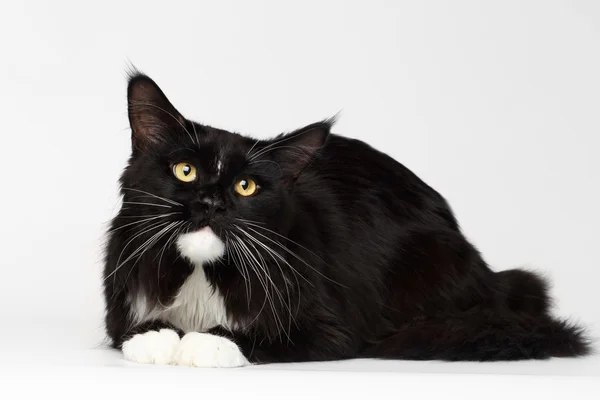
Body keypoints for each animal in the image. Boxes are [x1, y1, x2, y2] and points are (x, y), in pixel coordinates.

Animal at [103, 71, 592, 366]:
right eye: (185, 171)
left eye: (246, 187)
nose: (210, 202)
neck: (204, 273)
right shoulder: (120, 302)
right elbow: (131, 330)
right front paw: (156, 337)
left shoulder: (330, 329)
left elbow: (261, 337)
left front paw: (205, 342)